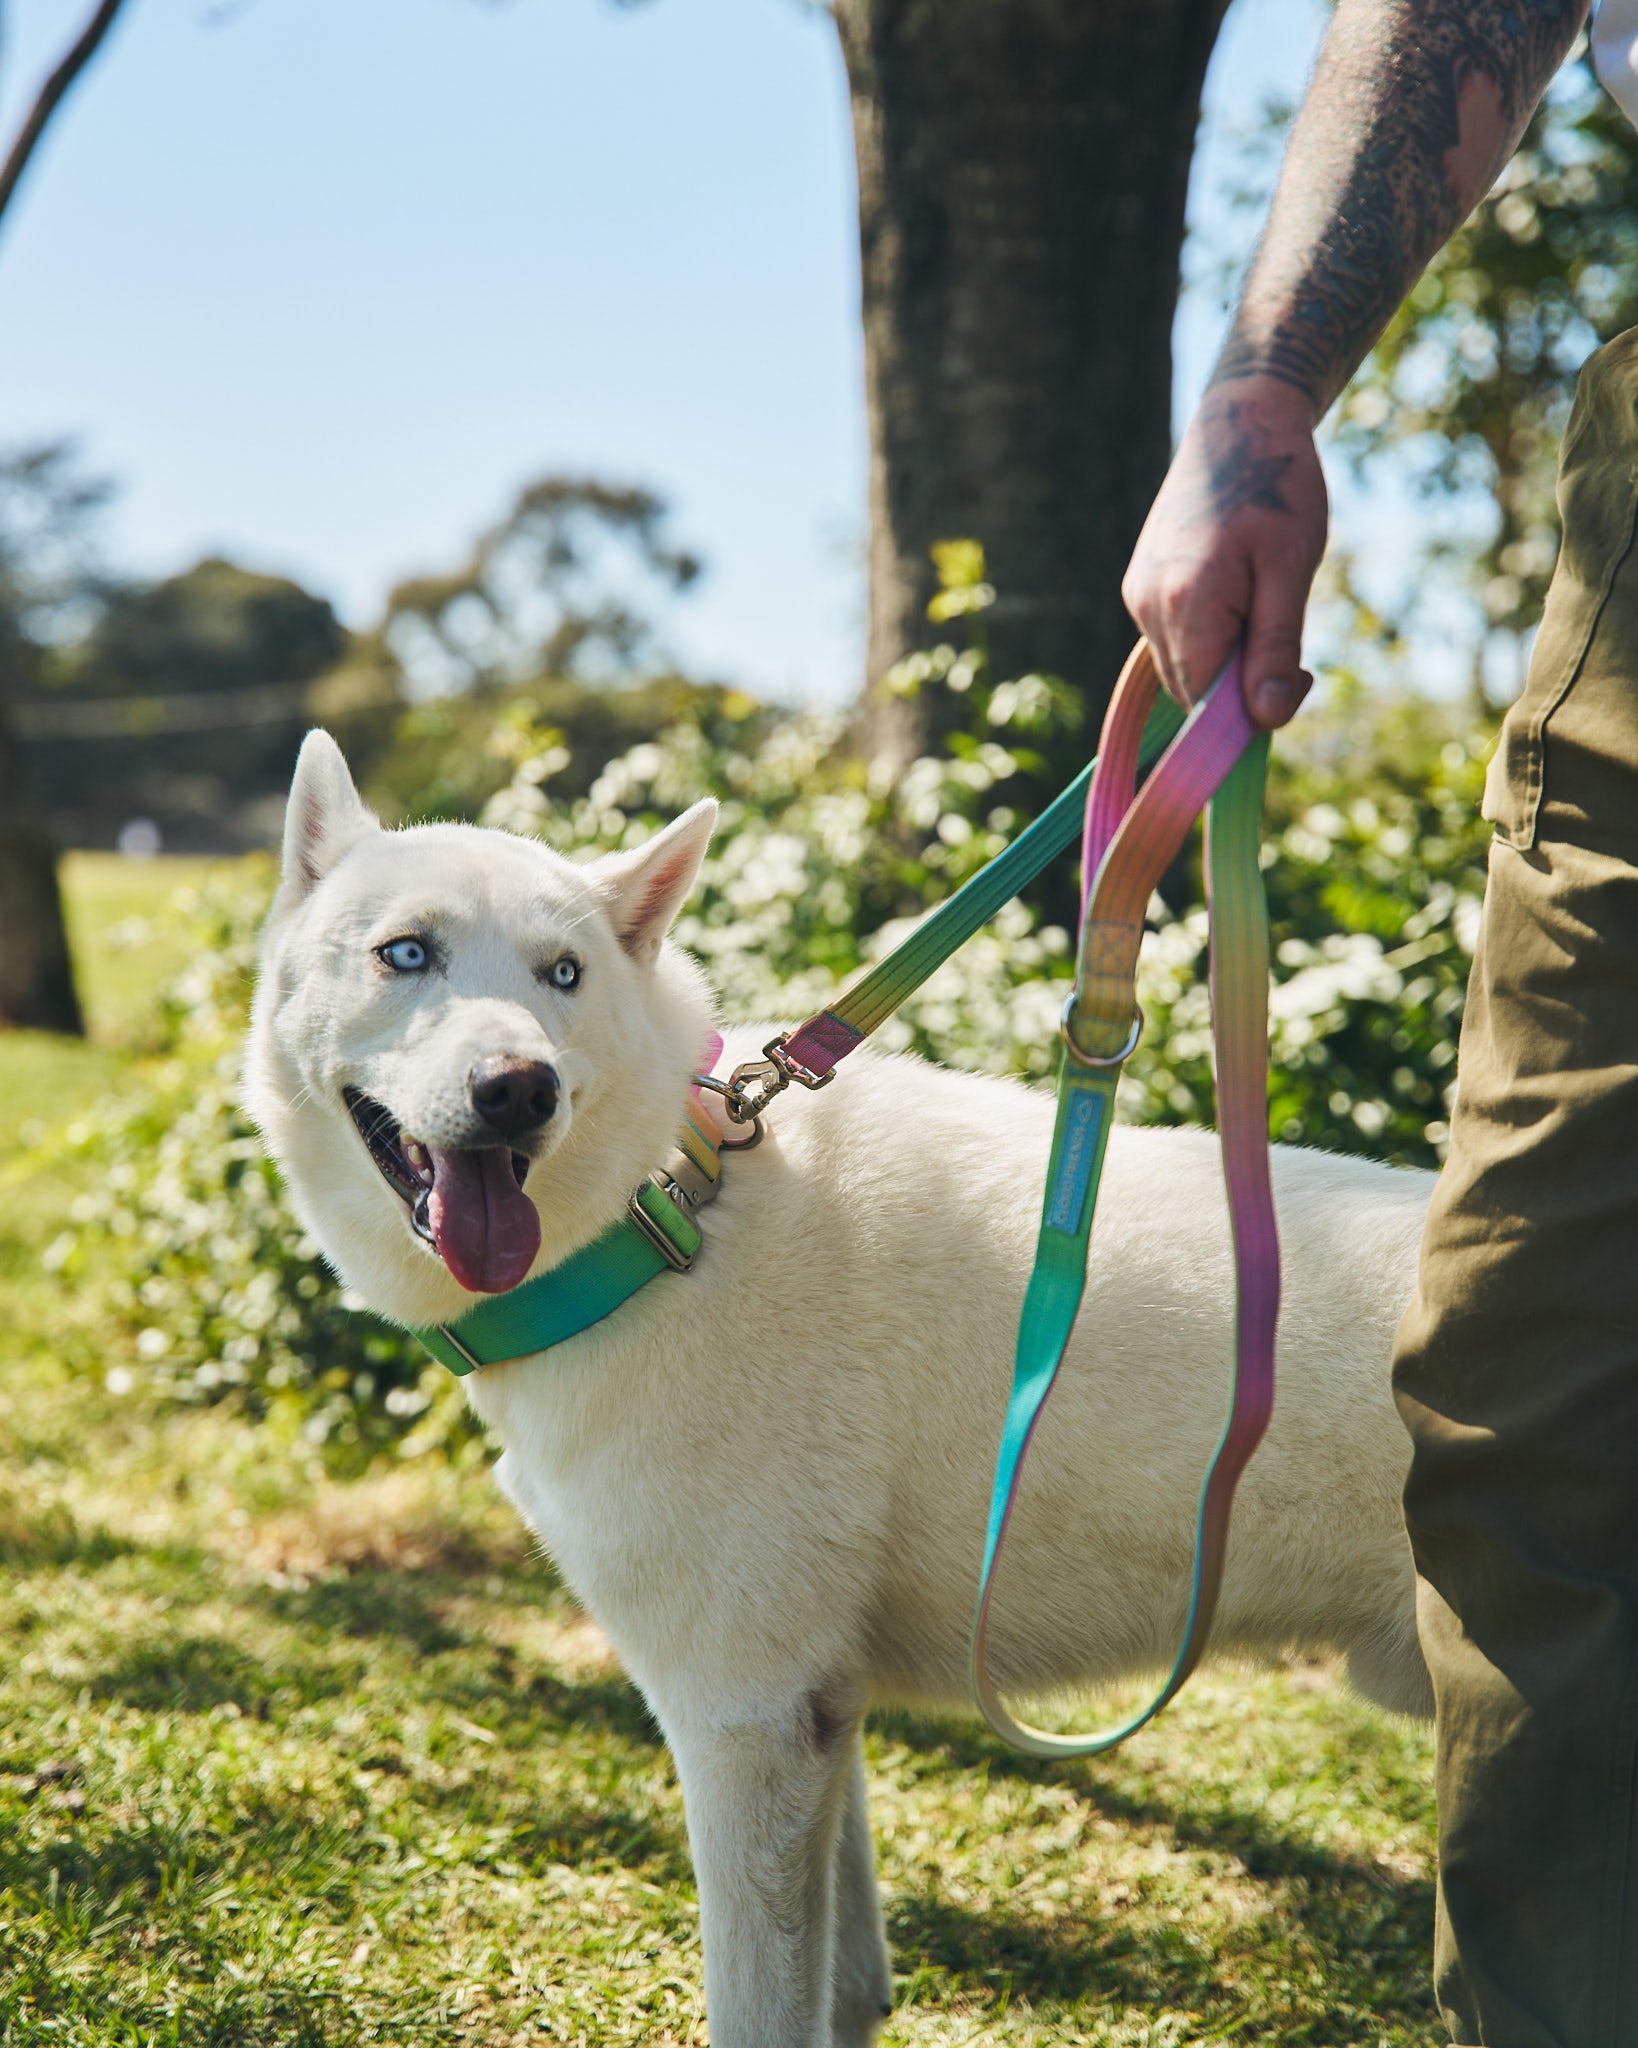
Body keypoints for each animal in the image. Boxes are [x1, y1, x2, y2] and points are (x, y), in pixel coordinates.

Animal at [246, 737, 1433, 2048]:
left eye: (564, 973)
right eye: (407, 952)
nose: (520, 1088)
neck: (664, 1213)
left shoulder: (745, 1718)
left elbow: (758, 2001)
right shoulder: (823, 1713)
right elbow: (848, 1981)